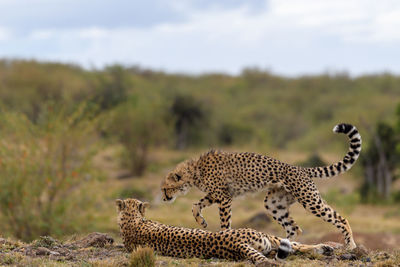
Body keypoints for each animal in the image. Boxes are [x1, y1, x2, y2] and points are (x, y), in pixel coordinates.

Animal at [162, 123, 362, 249]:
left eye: (165, 188)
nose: (164, 198)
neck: (195, 170)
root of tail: (300, 168)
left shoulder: (224, 197)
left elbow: (224, 221)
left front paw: (223, 235)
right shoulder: (216, 194)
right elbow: (195, 205)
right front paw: (201, 220)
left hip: (310, 200)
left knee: (340, 218)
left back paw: (351, 244)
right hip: (274, 203)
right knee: (294, 228)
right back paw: (284, 245)